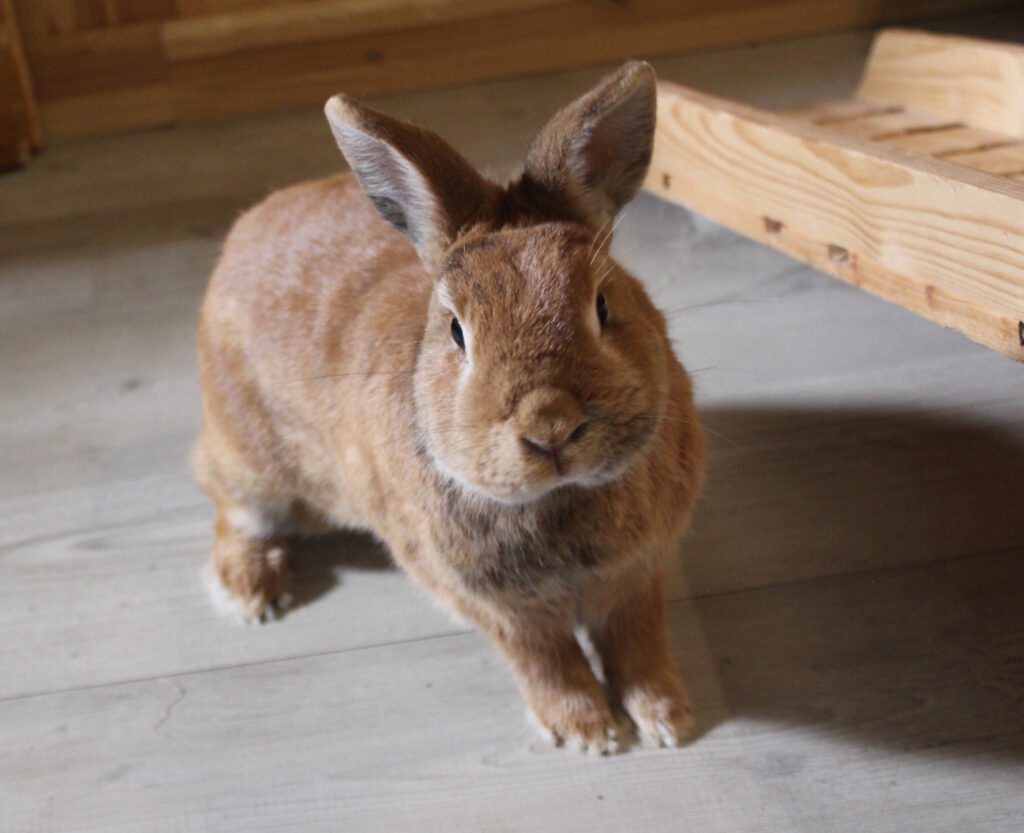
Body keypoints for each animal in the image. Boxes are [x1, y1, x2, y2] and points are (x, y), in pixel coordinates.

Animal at [193, 61, 705, 753]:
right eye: (457, 331)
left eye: (603, 302)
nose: (550, 426)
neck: (557, 501)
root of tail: (242, 236)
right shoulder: (500, 609)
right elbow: (544, 660)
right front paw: (587, 732)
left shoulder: (636, 578)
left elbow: (640, 643)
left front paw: (666, 720)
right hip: (251, 459)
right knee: (231, 506)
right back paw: (253, 594)